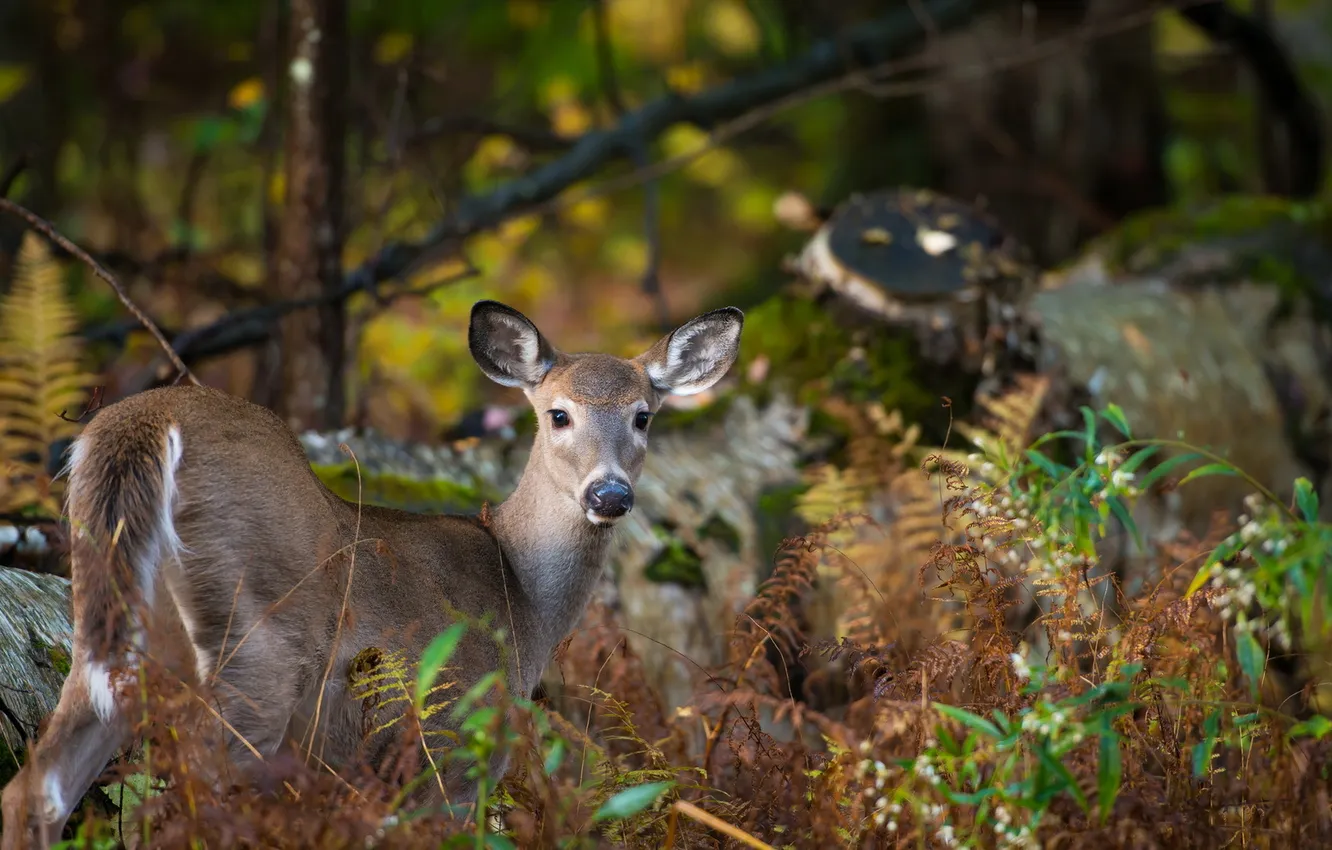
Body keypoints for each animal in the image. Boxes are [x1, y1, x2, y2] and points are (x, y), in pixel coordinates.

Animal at [0, 299, 745, 847]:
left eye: (642, 416)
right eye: (558, 414)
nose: (609, 494)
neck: (521, 599)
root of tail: (143, 424)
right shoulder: (453, 740)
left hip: (114, 632)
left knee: (36, 788)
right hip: (259, 637)